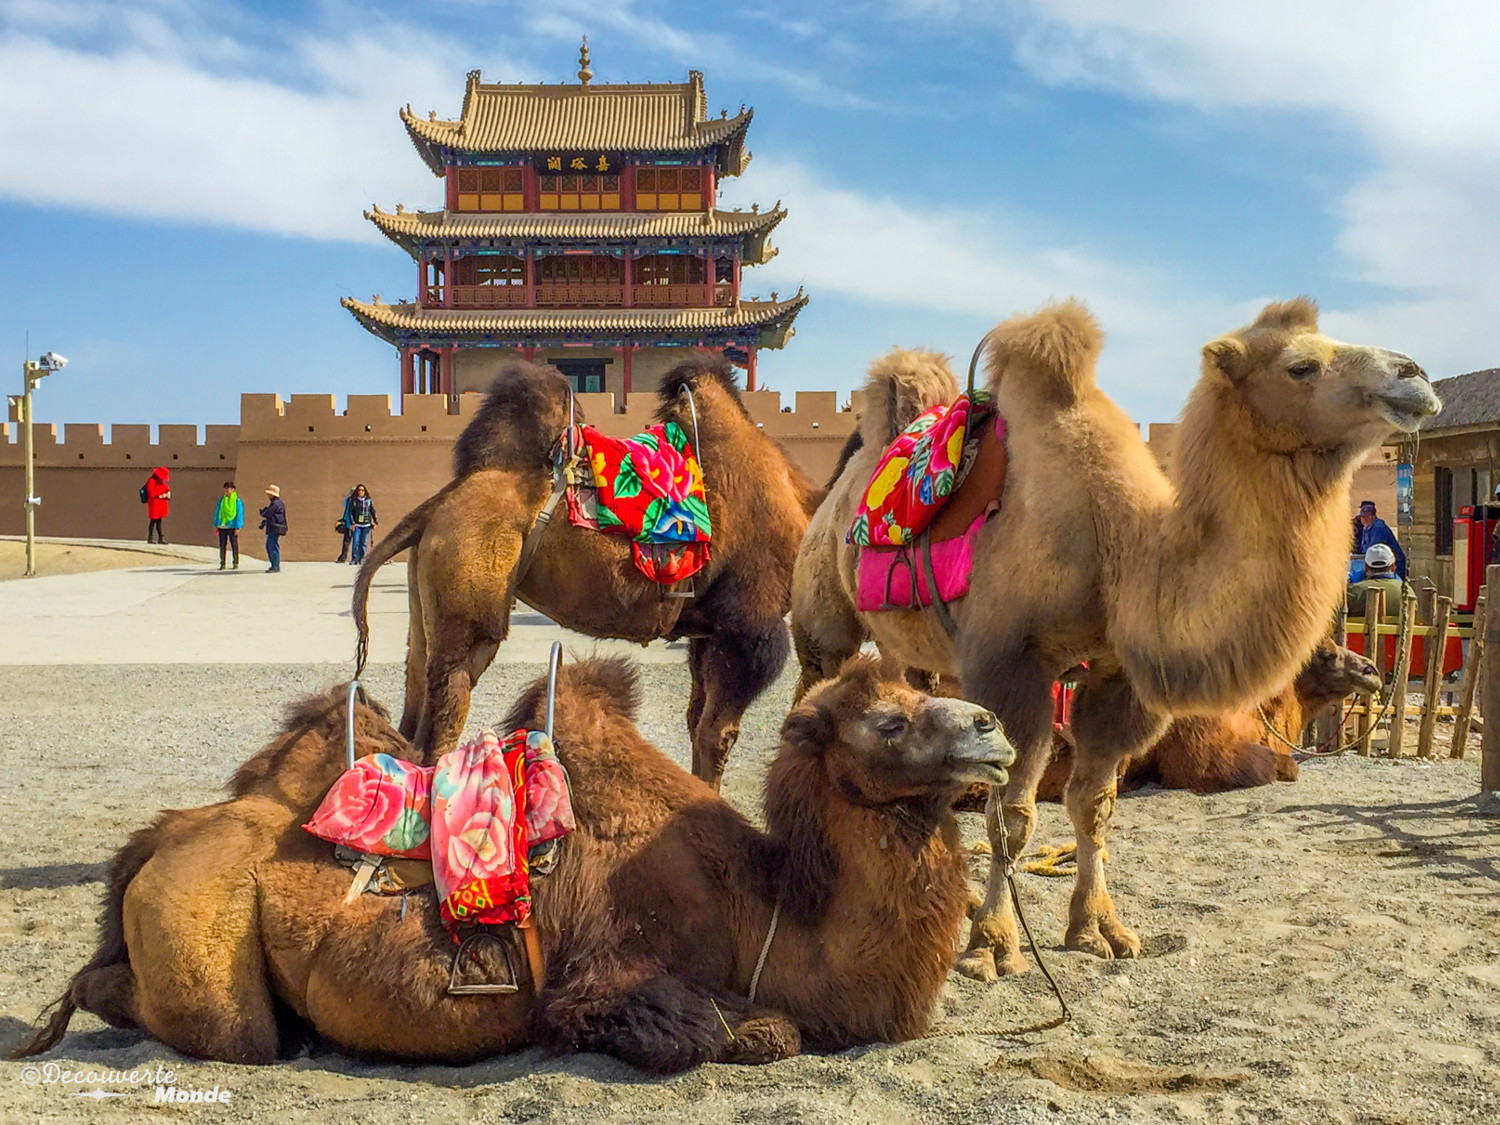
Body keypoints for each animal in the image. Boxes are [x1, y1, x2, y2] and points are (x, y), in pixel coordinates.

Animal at [11, 660, 1014, 1074]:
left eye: (921, 687)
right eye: (889, 720)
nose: (995, 727)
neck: (765, 908)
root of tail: (159, 835)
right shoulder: (609, 970)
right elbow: (740, 1031)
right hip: (207, 946)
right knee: (204, 1024)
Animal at [354, 357, 822, 786]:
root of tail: (437, 505)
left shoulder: (709, 630)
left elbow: (695, 722)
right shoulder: (748, 627)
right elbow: (717, 734)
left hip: (424, 606)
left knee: (413, 710)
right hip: (468, 608)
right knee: (441, 727)